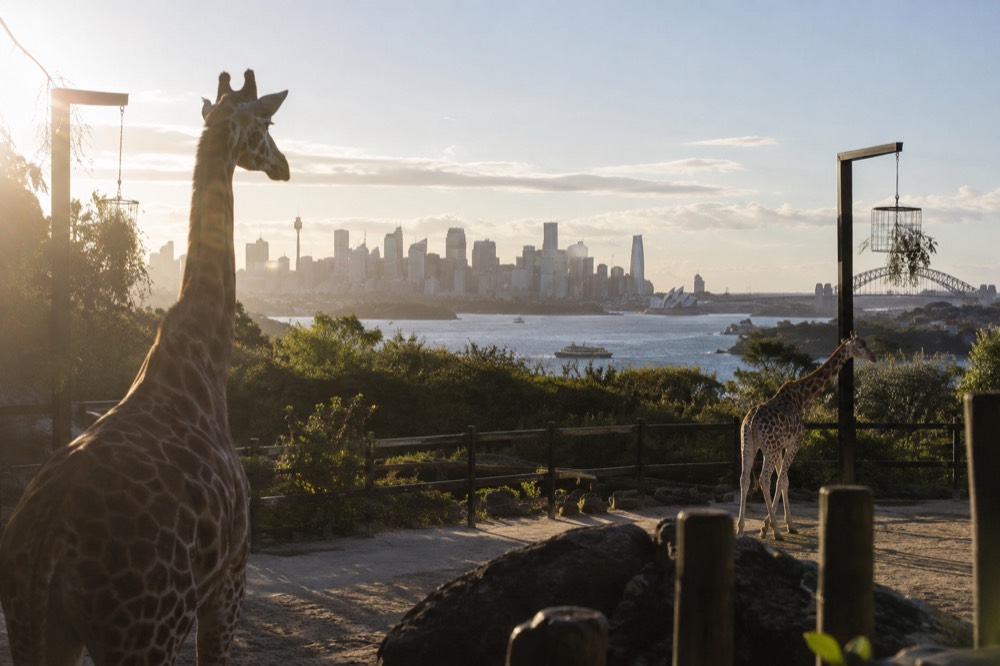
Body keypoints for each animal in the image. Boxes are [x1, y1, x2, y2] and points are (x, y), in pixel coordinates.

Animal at [0, 70, 289, 665]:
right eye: (267, 125)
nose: (284, 165)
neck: (206, 358)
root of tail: (44, 542)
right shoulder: (231, 575)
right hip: (144, 634)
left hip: (35, 628)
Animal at [736, 332, 876, 540]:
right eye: (860, 345)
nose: (873, 357)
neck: (802, 398)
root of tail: (751, 422)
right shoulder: (794, 442)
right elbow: (781, 480)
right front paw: (771, 526)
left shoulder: (782, 446)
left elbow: (784, 481)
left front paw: (786, 525)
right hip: (767, 448)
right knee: (763, 479)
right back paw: (776, 532)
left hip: (748, 445)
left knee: (744, 478)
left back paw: (740, 528)